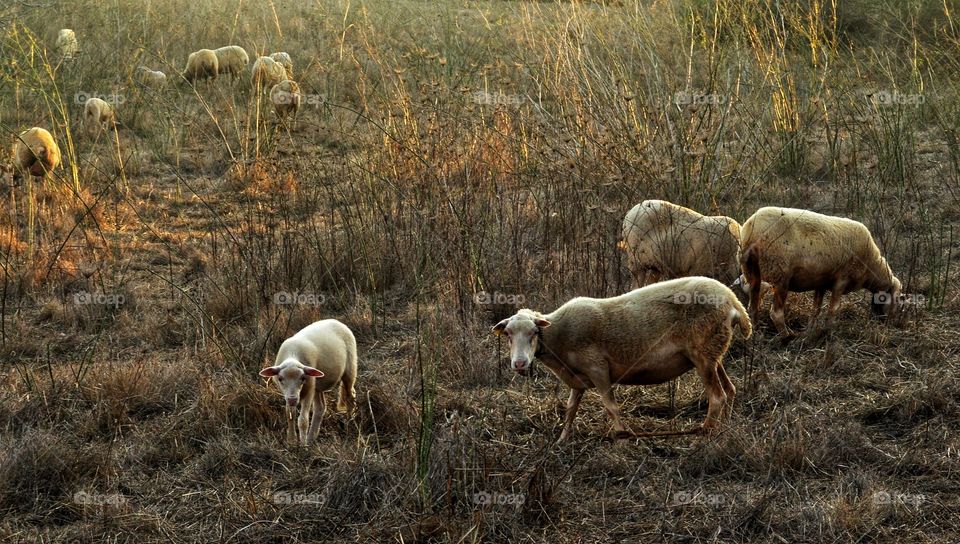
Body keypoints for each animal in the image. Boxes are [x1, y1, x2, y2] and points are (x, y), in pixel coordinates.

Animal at [496, 276, 752, 442]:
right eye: (508, 334)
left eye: (533, 333)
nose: (519, 364)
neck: (559, 336)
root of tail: (734, 302)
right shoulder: (577, 380)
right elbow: (570, 410)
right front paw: (562, 441)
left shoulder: (597, 368)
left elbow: (611, 407)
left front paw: (622, 436)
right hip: (713, 352)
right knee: (729, 390)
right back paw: (724, 429)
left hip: (703, 354)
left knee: (717, 397)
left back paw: (705, 431)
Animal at [740, 206, 904, 342]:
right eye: (898, 300)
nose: (893, 324)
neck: (871, 266)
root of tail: (751, 231)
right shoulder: (842, 279)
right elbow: (833, 309)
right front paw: (829, 332)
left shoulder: (821, 282)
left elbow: (816, 309)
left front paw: (809, 332)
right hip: (781, 275)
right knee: (776, 313)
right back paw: (787, 337)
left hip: (751, 271)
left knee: (753, 306)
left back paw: (756, 335)